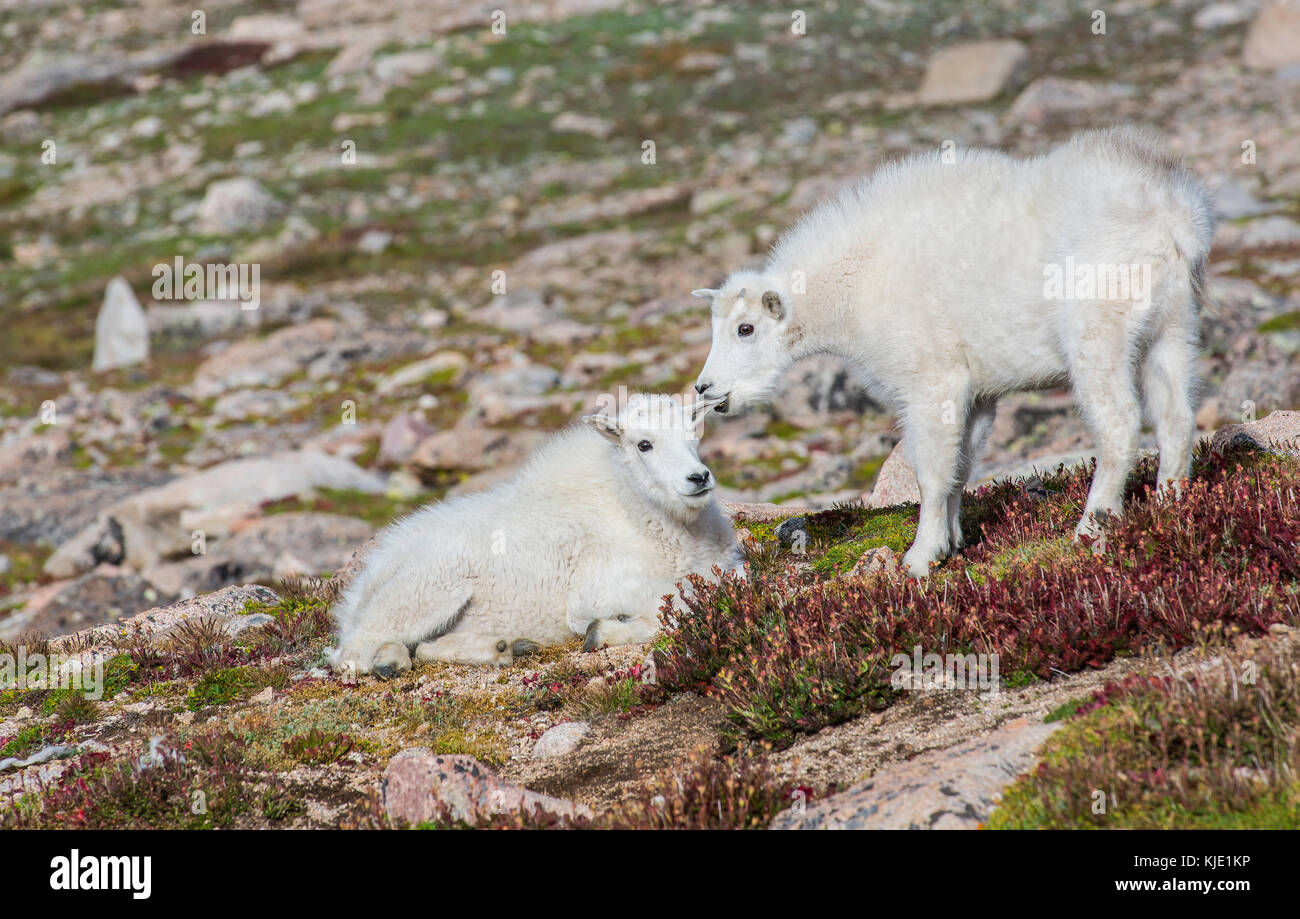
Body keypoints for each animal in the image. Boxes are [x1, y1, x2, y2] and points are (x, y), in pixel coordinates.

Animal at [330, 392, 748, 681]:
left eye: (693, 436)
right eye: (644, 444)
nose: (698, 478)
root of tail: (359, 587)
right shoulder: (595, 591)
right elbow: (675, 605)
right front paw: (602, 632)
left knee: (426, 647)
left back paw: (505, 647)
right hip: (426, 589)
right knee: (353, 651)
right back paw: (390, 660)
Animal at [696, 127, 1211, 582]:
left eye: (745, 329)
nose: (705, 388)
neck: (855, 284)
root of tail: (1172, 219)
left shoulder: (930, 382)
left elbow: (931, 473)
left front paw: (920, 557)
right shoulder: (976, 393)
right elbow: (960, 467)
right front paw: (953, 542)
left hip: (1099, 335)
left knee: (1120, 423)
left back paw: (1093, 526)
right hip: (1173, 328)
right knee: (1176, 416)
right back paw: (1171, 506)